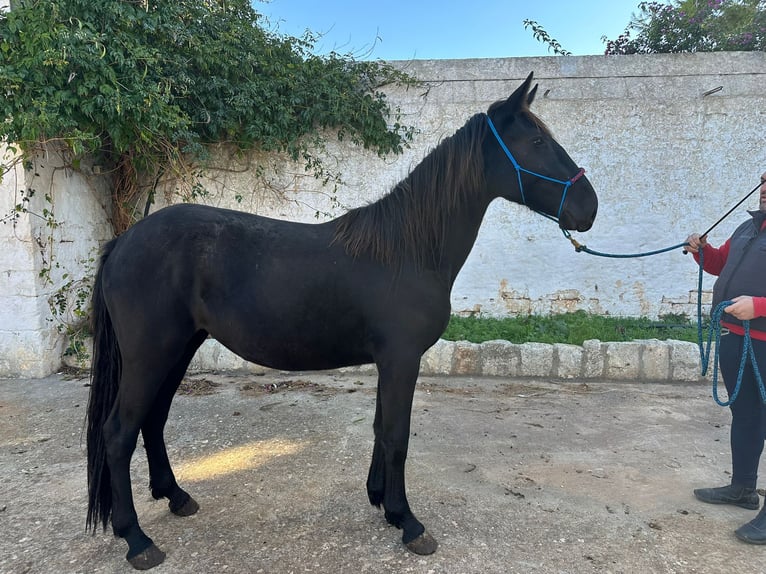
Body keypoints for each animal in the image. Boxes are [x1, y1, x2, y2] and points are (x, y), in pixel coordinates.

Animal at [85, 73, 600, 572]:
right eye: (536, 140)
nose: (589, 207)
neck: (408, 250)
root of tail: (123, 241)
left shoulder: (390, 362)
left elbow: (379, 428)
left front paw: (383, 504)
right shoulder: (401, 360)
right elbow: (396, 436)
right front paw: (409, 523)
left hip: (179, 349)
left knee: (152, 421)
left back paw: (176, 497)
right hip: (152, 355)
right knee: (119, 432)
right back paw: (136, 539)